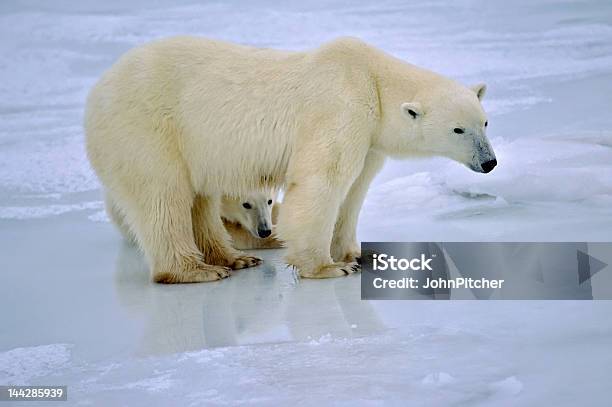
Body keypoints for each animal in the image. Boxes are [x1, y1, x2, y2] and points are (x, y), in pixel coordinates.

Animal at [85, 37, 498, 284]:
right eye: (458, 130)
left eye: (484, 122)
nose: (490, 163)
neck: (372, 80)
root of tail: (97, 92)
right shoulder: (339, 108)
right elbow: (322, 181)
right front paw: (328, 266)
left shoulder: (369, 139)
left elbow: (355, 190)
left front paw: (356, 253)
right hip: (148, 130)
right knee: (163, 196)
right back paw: (194, 270)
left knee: (199, 199)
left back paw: (233, 259)